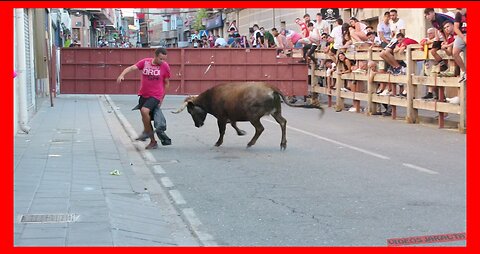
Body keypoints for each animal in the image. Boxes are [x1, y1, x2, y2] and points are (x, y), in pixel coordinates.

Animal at [171, 81, 324, 150]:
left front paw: (218, 143)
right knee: (283, 122)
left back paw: (250, 143)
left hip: (253, 116)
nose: (198, 125)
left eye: (190, 111)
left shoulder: (221, 117)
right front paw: (241, 132)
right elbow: (233, 124)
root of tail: (271, 88)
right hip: (275, 112)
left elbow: (222, 130)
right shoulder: (230, 116)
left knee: (260, 128)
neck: (211, 97)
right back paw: (283, 144)